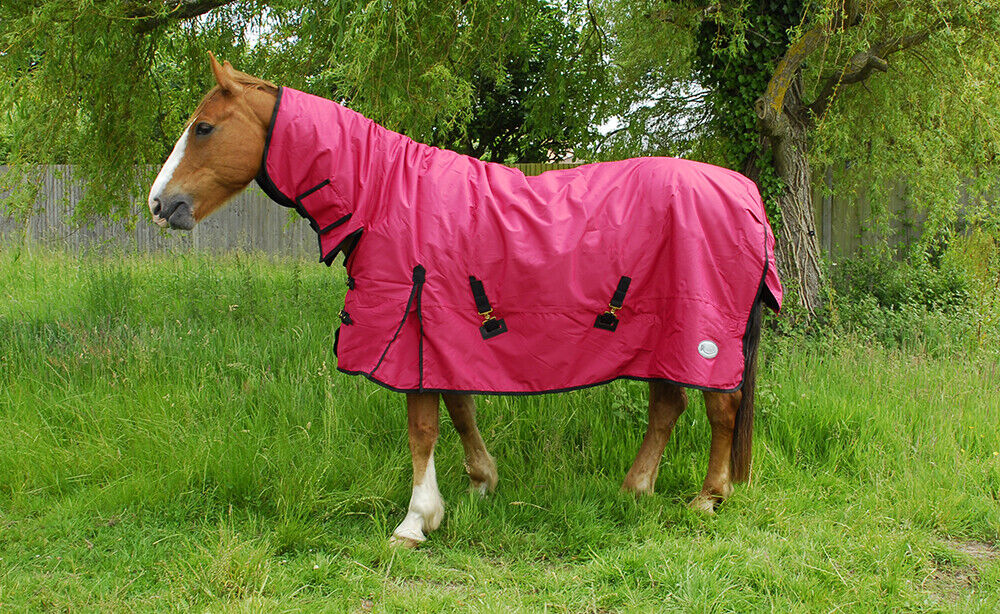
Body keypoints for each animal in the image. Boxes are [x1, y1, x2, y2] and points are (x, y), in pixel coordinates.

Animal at [147, 53, 782, 547]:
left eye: (204, 128)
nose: (159, 203)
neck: (385, 193)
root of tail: (745, 192)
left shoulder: (409, 328)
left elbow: (423, 427)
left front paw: (416, 520)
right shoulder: (439, 333)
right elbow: (459, 410)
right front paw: (481, 483)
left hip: (702, 336)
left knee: (721, 408)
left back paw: (707, 497)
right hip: (660, 339)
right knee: (667, 407)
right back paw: (635, 489)